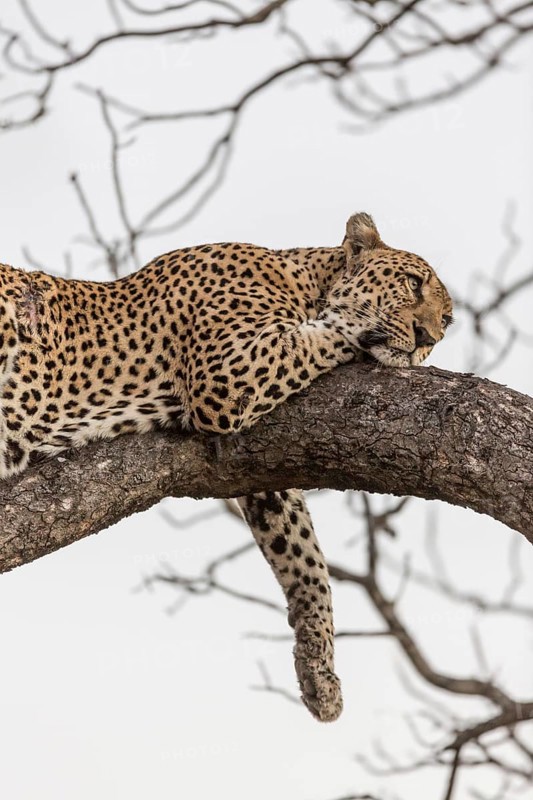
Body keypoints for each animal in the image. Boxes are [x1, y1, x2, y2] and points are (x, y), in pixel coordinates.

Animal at [0, 212, 452, 723]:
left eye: (448, 320)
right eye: (413, 283)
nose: (428, 338)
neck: (303, 280)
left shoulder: (262, 470)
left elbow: (304, 554)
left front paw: (319, 669)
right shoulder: (226, 373)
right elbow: (325, 332)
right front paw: (354, 320)